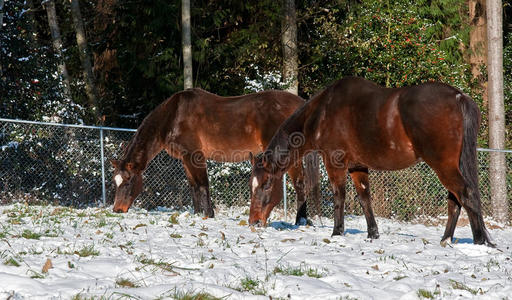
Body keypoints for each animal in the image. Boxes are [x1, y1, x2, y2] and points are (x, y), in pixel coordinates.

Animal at [112, 88, 320, 224]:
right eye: (115, 181)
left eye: (129, 182)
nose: (117, 210)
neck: (173, 116)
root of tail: (301, 104)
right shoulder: (185, 159)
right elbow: (193, 186)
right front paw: (196, 214)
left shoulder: (195, 156)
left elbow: (203, 185)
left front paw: (209, 214)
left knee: (300, 183)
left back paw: (300, 220)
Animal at [250, 77, 494, 246]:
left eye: (266, 185)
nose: (253, 222)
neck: (322, 113)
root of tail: (458, 97)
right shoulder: (357, 167)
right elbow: (364, 198)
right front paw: (372, 234)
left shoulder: (335, 163)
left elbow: (339, 196)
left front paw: (337, 232)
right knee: (456, 200)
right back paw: (446, 240)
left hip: (443, 165)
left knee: (466, 194)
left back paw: (480, 241)